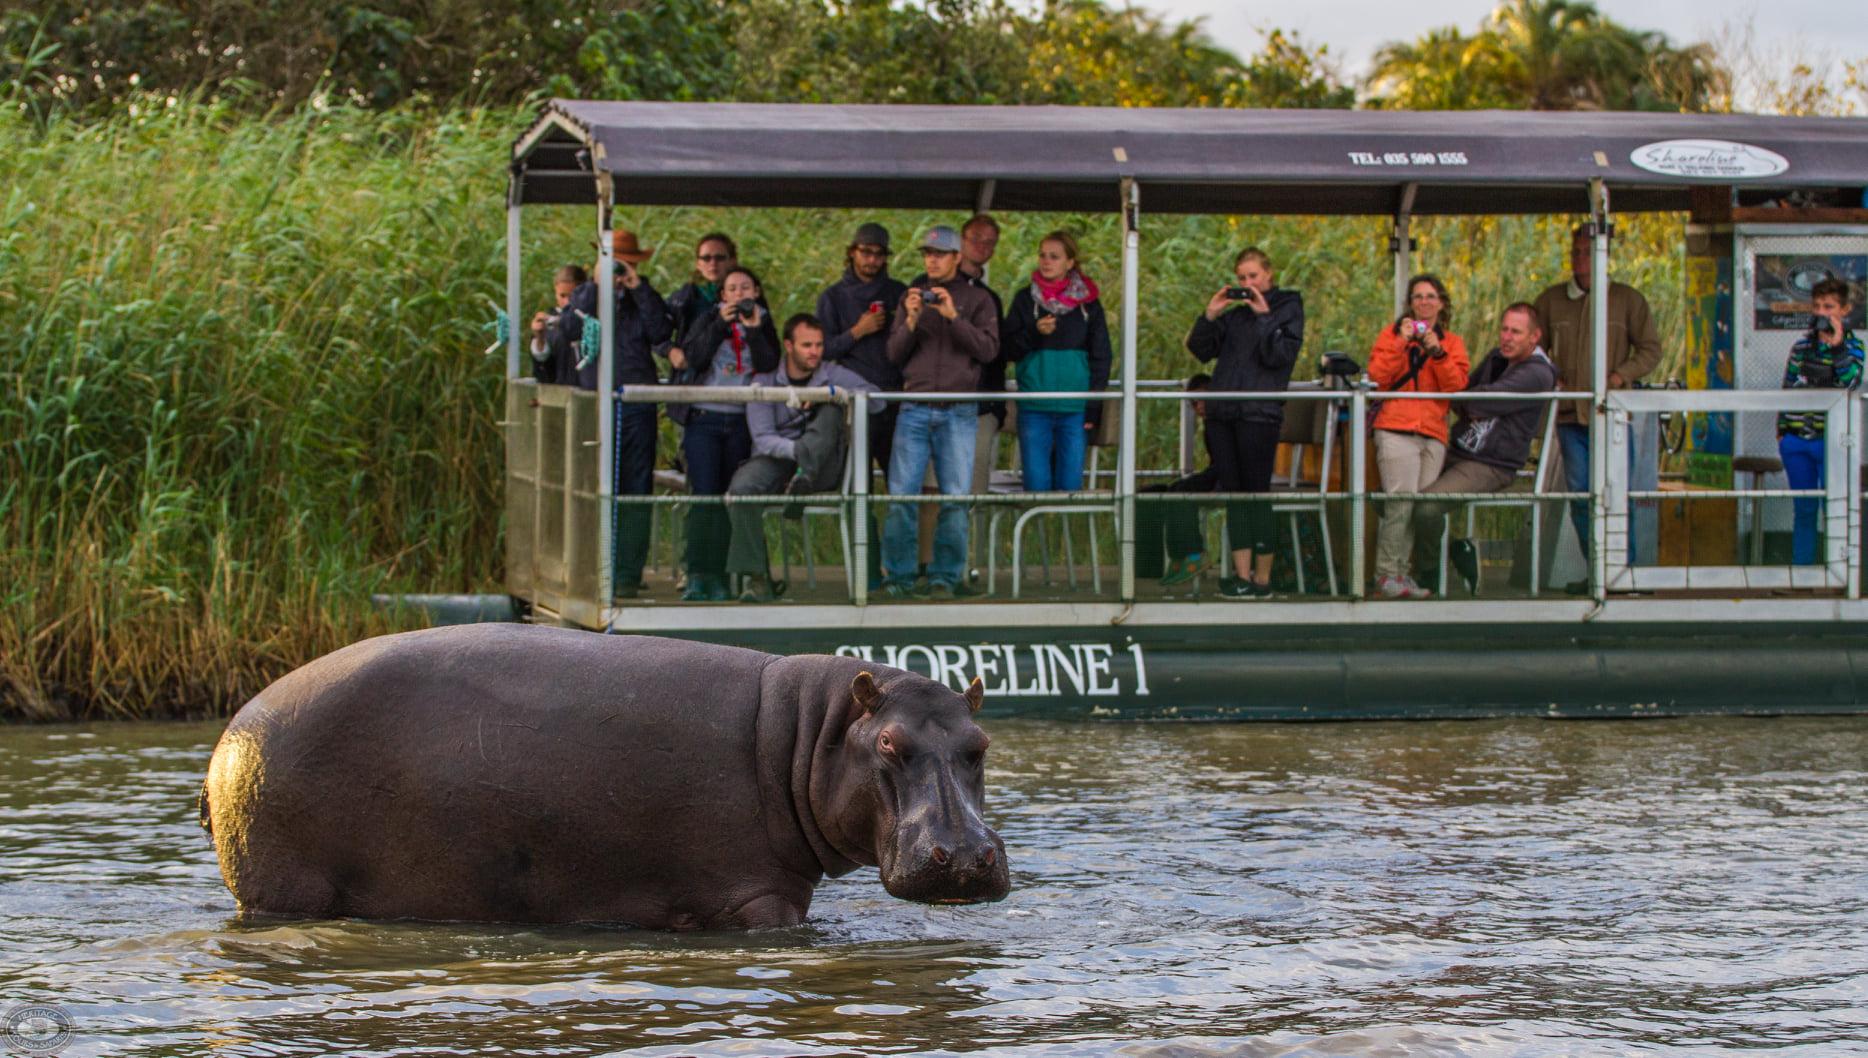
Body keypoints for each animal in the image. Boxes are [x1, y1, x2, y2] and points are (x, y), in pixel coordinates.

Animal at [199, 624, 1010, 929]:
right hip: (287, 890)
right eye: (891, 745)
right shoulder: (756, 897)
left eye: (980, 743)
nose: (968, 856)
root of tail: (226, 739)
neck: (808, 733)